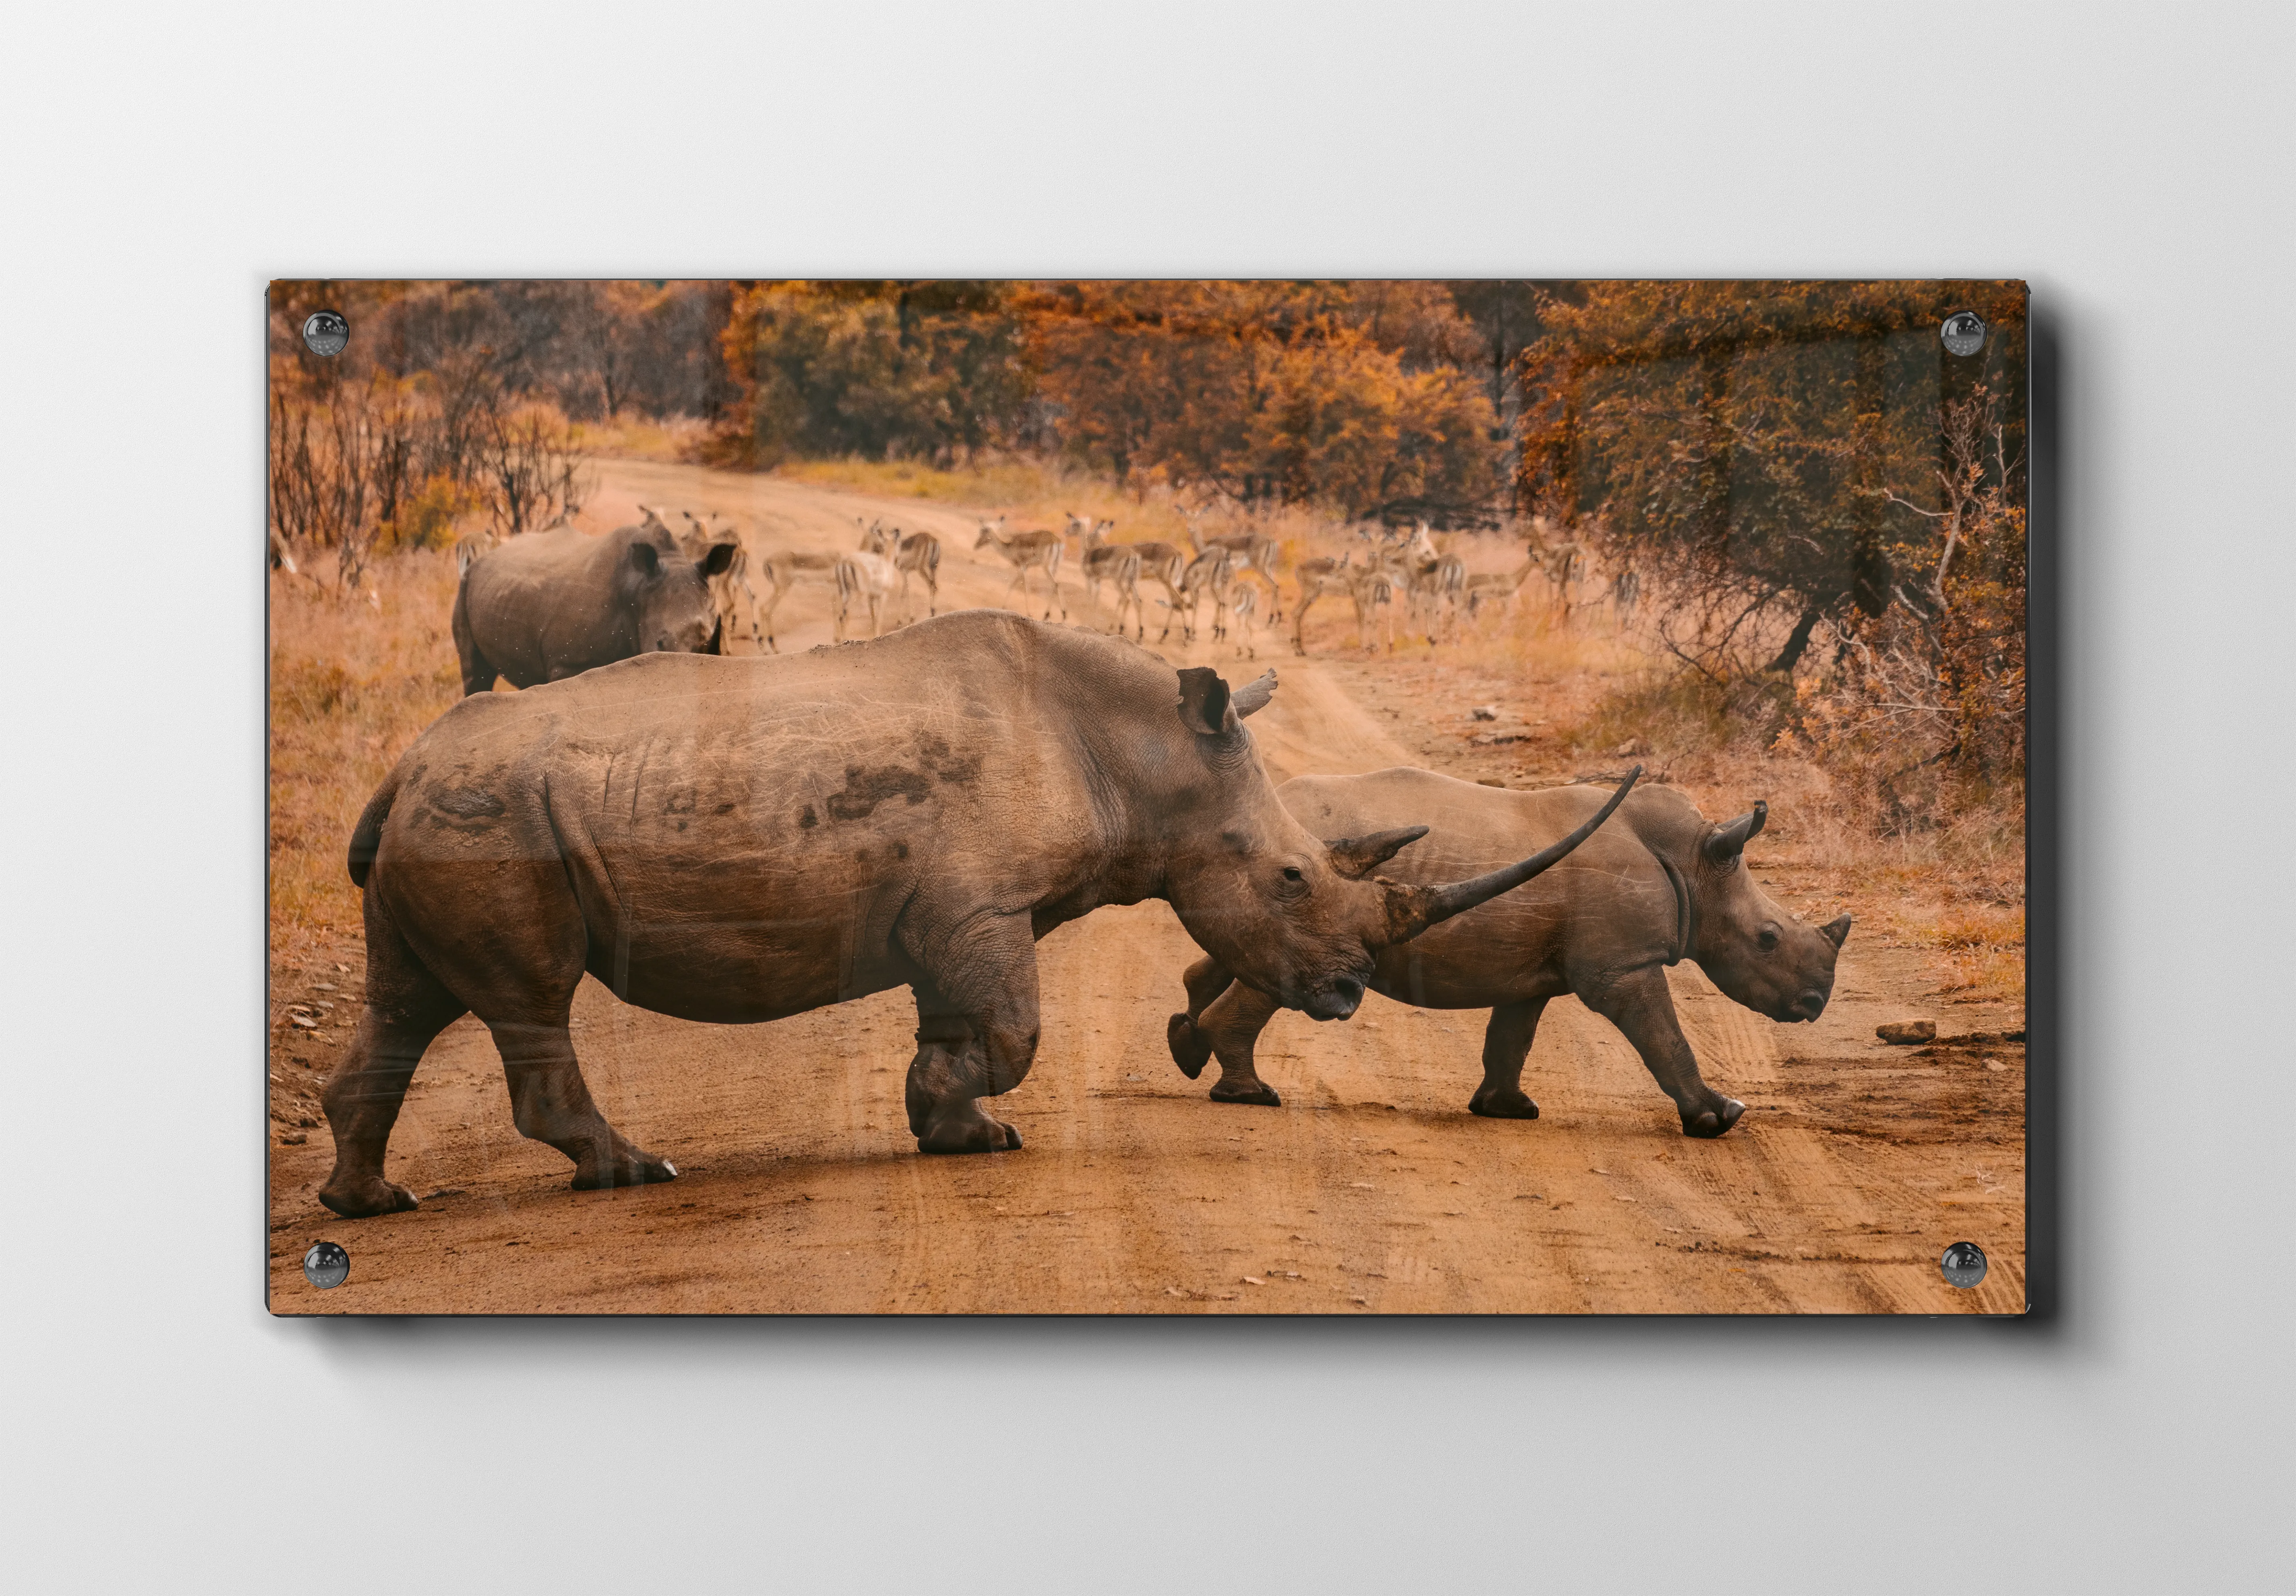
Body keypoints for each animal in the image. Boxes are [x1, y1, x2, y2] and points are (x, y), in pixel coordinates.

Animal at [320, 612, 1637, 1218]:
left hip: (454, 809)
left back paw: (371, 1203)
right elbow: (1012, 1031)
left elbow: (966, 1026)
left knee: (408, 1003)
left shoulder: (963, 911)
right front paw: (977, 1131)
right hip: (495, 816)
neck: (1144, 755)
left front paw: (946, 1128)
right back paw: (636, 1171)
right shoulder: (980, 905)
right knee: (530, 1001)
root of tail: (401, 766)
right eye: (1291, 880)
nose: (1348, 995)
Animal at [450, 518, 740, 695]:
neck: (637, 591)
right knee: (476, 674)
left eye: (708, 643)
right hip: (465, 586)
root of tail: (485, 555)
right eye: (660, 644)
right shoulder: (568, 663)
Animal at [1166, 767, 1851, 1137]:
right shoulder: (1623, 965)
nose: (1816, 1002)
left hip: (1277, 875)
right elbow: (1665, 1037)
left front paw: (1507, 1110)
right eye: (1767, 938)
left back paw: (1189, 1048)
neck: (1694, 861)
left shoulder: (1535, 970)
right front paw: (1720, 1117)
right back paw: (1251, 1094)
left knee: (1234, 953)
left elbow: (1512, 1037)